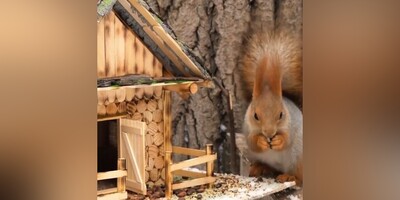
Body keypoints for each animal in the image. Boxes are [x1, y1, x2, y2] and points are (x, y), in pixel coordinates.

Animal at [241, 30, 304, 185]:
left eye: (281, 114)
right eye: (255, 115)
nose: (269, 133)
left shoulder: (291, 124)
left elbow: (287, 139)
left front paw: (278, 141)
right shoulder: (247, 127)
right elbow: (252, 142)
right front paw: (261, 141)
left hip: (298, 159)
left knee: (300, 177)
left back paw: (289, 177)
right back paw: (259, 167)